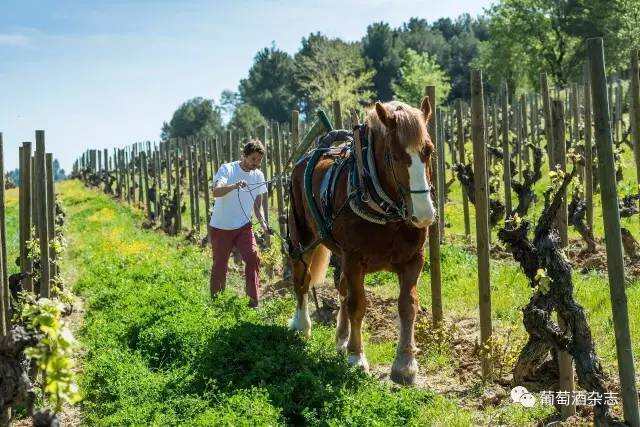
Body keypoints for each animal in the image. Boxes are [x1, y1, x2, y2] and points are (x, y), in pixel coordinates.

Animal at [288, 98, 438, 386]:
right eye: (393, 156)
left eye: (429, 151)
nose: (424, 214)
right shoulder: (354, 259)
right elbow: (358, 305)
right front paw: (356, 358)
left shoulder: (413, 259)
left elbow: (407, 306)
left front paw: (405, 364)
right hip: (302, 235)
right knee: (302, 279)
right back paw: (301, 325)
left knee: (342, 289)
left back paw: (341, 338)